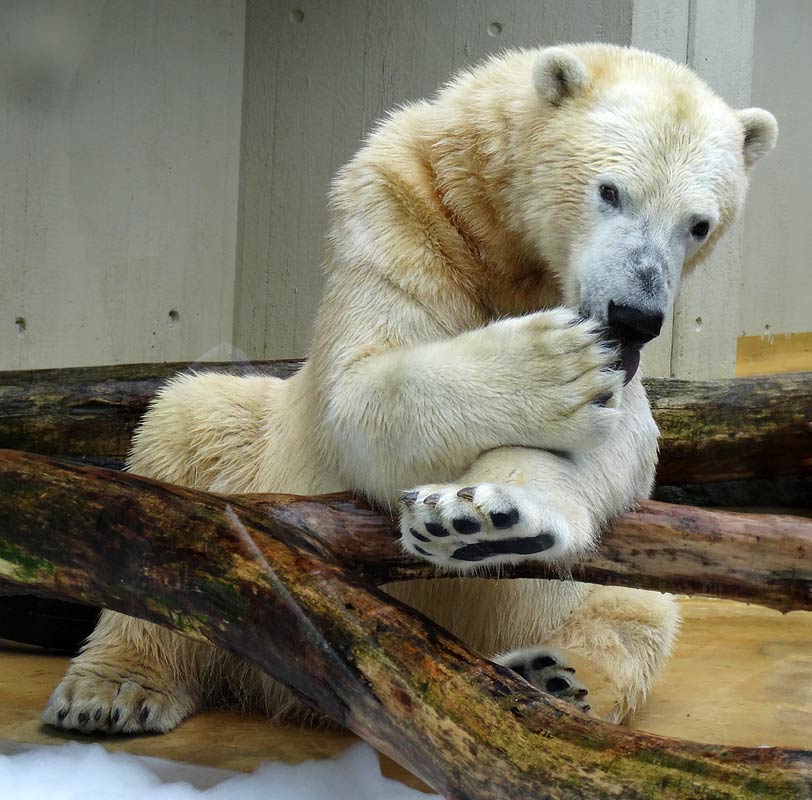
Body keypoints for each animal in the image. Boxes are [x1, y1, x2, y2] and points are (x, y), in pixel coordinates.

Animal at [41, 42, 776, 732]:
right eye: (611, 190)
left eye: (699, 224)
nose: (635, 316)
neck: (499, 241)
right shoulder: (398, 215)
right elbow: (360, 395)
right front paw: (555, 363)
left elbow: (621, 446)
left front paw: (483, 517)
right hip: (250, 463)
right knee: (184, 444)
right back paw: (111, 688)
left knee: (634, 618)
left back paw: (551, 679)